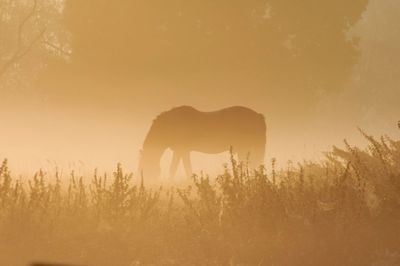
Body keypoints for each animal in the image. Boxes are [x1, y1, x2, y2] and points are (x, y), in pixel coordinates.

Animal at [138, 105, 266, 179]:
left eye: (144, 166)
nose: (147, 186)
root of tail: (258, 115)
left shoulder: (181, 150)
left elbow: (176, 169)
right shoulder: (181, 151)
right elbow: (180, 168)